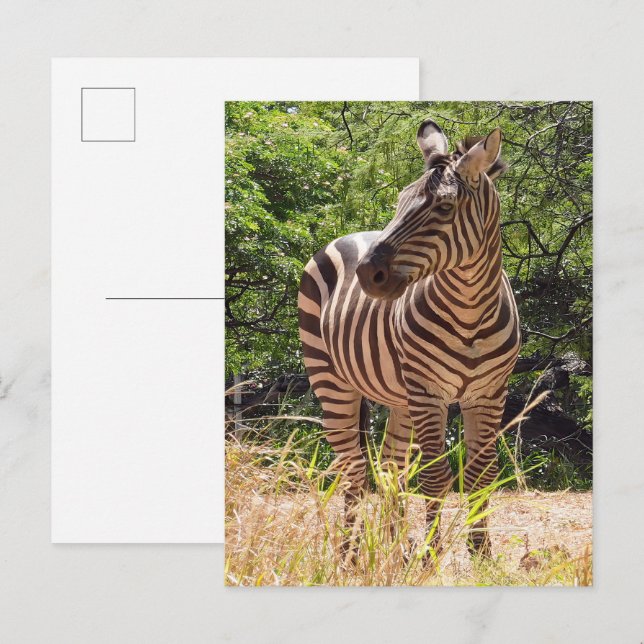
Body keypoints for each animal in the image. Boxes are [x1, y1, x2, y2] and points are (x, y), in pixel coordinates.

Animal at [298, 119, 521, 557]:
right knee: (353, 469)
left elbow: (482, 475)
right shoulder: (427, 391)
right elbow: (435, 478)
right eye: (400, 201)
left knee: (389, 467)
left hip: (399, 398)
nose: (367, 275)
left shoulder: (489, 393)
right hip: (332, 381)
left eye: (444, 208)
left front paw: (481, 555)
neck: (470, 312)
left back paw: (392, 550)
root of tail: (349, 234)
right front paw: (430, 557)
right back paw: (351, 555)